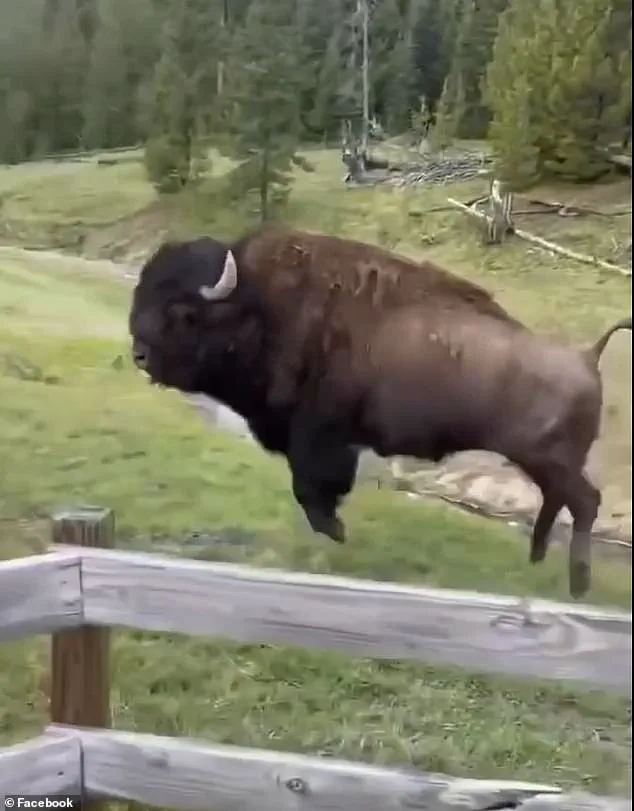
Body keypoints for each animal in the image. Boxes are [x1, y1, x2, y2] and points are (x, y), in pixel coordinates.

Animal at [128, 224, 631, 599]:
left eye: (184, 312)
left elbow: (312, 487)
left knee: (585, 501)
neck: (264, 305)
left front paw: (334, 531)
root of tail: (587, 356)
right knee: (558, 501)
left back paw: (578, 583)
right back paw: (537, 558)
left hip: (550, 460)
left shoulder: (319, 435)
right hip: (542, 462)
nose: (139, 354)